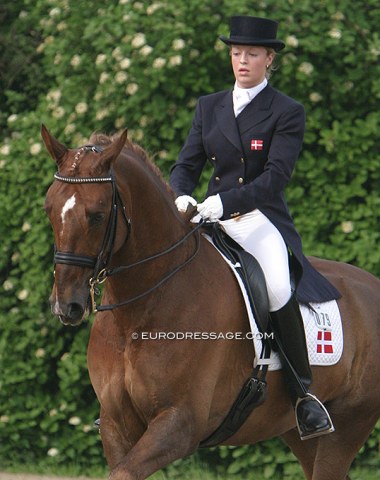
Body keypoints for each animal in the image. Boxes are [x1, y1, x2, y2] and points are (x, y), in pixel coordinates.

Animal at [42, 126, 380, 480]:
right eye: (48, 209)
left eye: (96, 216)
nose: (66, 305)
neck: (139, 310)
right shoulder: (115, 424)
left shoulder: (180, 424)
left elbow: (125, 471)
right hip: (294, 430)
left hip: (348, 424)